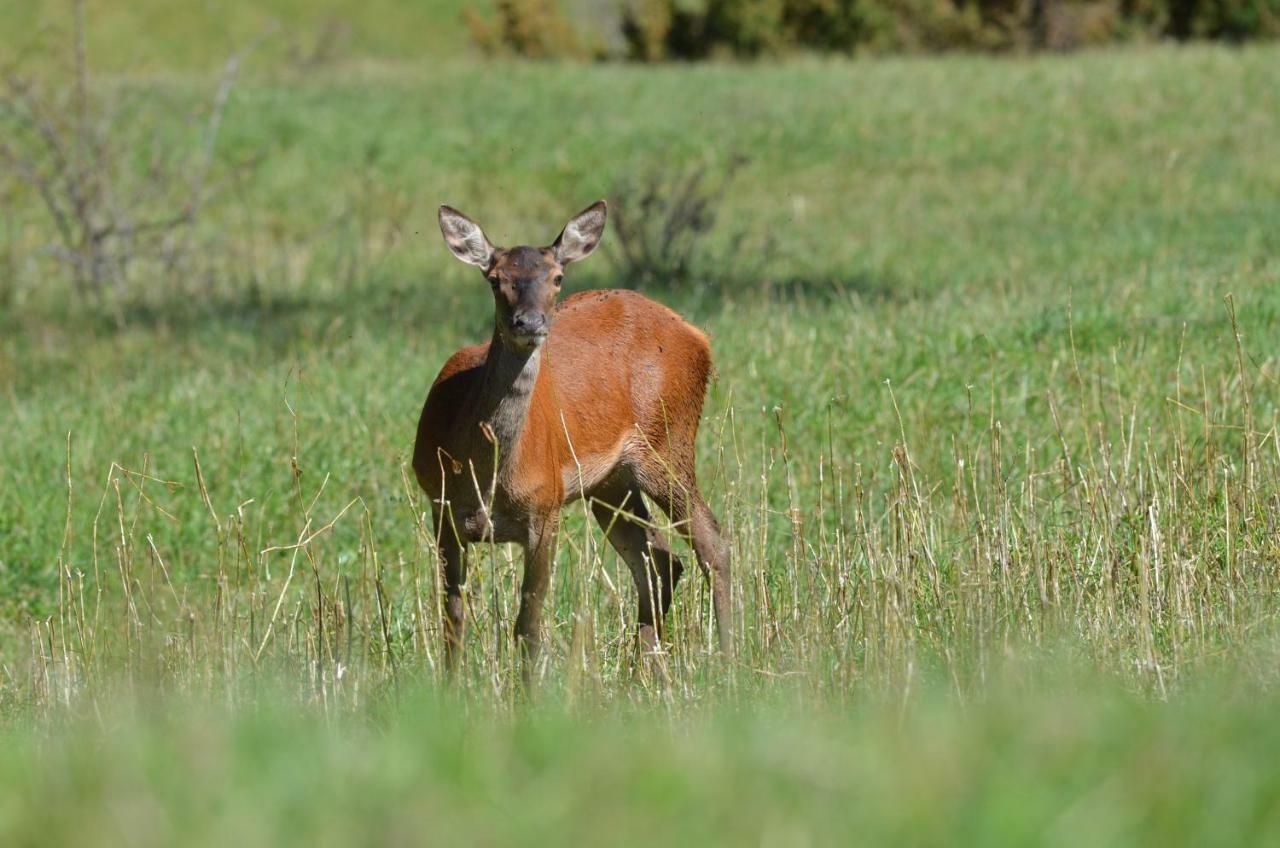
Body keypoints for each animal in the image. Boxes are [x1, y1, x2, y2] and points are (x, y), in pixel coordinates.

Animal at [409, 201, 732, 686]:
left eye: (557, 277)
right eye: (495, 279)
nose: (530, 322)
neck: (486, 476)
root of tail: (699, 336)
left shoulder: (546, 504)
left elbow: (528, 623)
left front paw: (529, 695)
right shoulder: (441, 505)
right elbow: (453, 617)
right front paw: (448, 692)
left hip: (667, 442)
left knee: (712, 543)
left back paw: (732, 658)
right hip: (610, 482)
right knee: (659, 560)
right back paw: (642, 670)